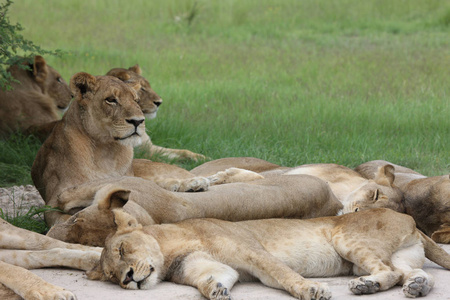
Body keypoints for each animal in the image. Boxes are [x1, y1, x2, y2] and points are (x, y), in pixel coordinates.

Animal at [86, 209, 448, 300]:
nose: (128, 279)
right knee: (409, 273)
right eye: (112, 277)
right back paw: (414, 287)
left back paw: (365, 286)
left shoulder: (252, 252)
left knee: (389, 271)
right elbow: (211, 278)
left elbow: (284, 275)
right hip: (403, 255)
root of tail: (408, 218)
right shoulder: (204, 266)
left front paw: (311, 290)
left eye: (122, 249)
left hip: (346, 237)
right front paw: (216, 290)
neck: (171, 250)